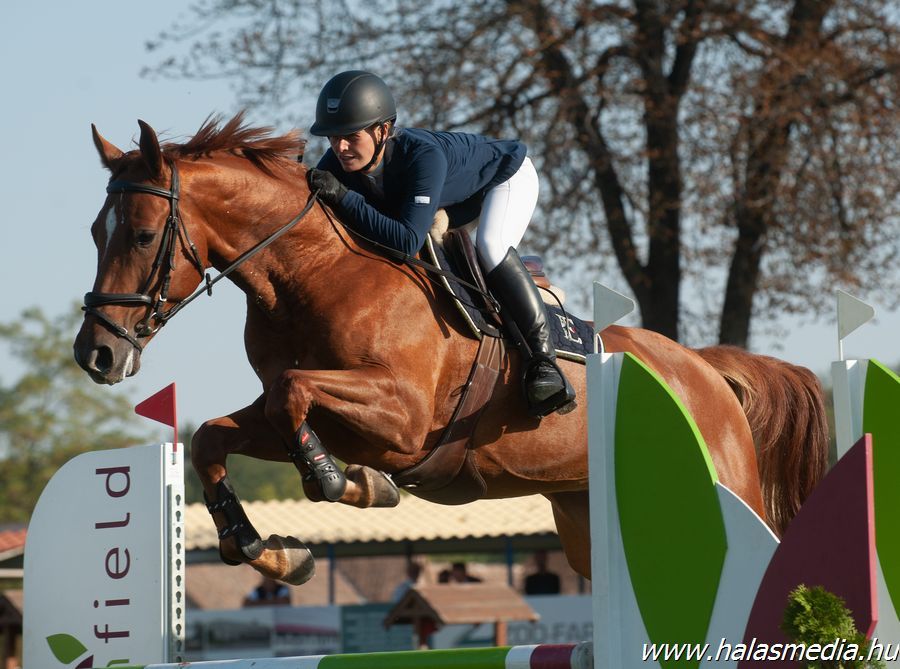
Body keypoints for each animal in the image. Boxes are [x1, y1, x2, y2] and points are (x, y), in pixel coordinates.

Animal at [74, 114, 829, 585]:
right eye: (93, 231)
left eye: (142, 235)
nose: (96, 355)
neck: (311, 272)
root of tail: (705, 369)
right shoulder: (310, 413)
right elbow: (214, 437)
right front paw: (273, 553)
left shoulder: (401, 419)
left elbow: (297, 400)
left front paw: (346, 483)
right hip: (585, 517)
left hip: (726, 487)